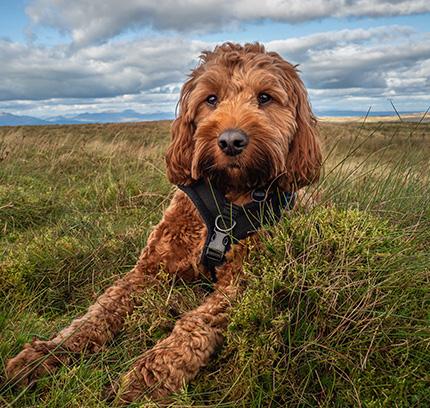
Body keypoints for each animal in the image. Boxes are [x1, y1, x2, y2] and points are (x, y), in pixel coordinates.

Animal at [5, 42, 320, 404]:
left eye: (265, 97)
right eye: (211, 99)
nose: (230, 141)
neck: (226, 200)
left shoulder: (240, 284)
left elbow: (193, 327)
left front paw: (147, 379)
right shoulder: (149, 269)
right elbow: (97, 313)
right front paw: (48, 353)